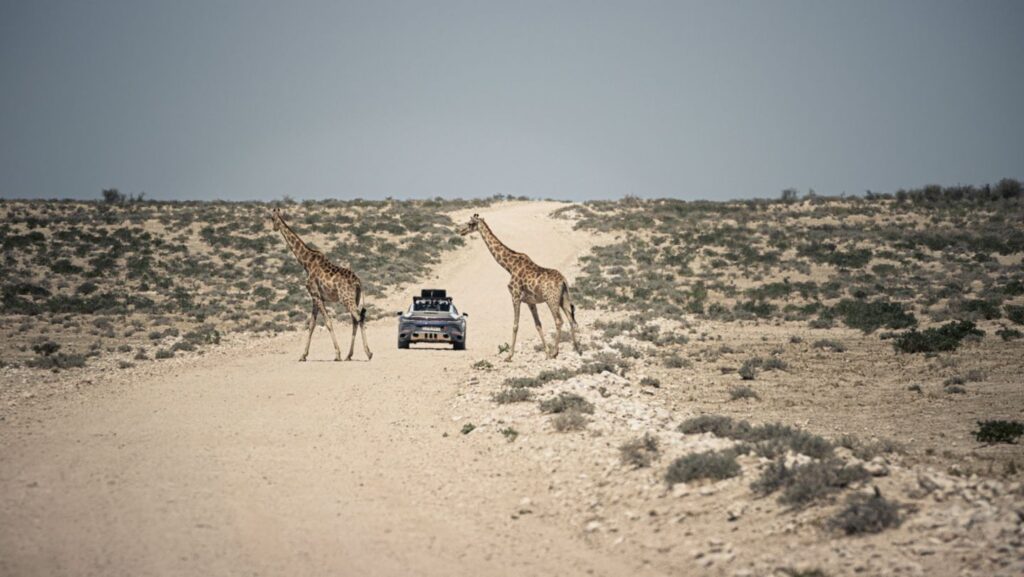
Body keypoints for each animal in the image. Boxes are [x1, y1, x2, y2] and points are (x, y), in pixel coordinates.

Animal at [268, 208, 372, 360]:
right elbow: (311, 324)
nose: (274, 228)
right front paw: (303, 355)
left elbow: (327, 323)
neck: (306, 263)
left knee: (359, 317)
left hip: (346, 298)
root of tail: (358, 282)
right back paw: (349, 355)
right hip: (355, 298)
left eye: (271, 218)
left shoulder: (315, 294)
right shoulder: (316, 297)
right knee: (355, 320)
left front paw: (337, 354)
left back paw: (368, 353)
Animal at [458, 214, 581, 360]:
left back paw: (555, 352)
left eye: (470, 223)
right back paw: (577, 349)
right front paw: (545, 352)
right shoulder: (530, 302)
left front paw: (509, 356)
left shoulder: (515, 296)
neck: (509, 267)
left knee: (559, 321)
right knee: (571, 319)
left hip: (551, 299)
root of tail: (563, 281)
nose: (461, 230)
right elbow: (538, 325)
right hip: (564, 298)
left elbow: (515, 325)